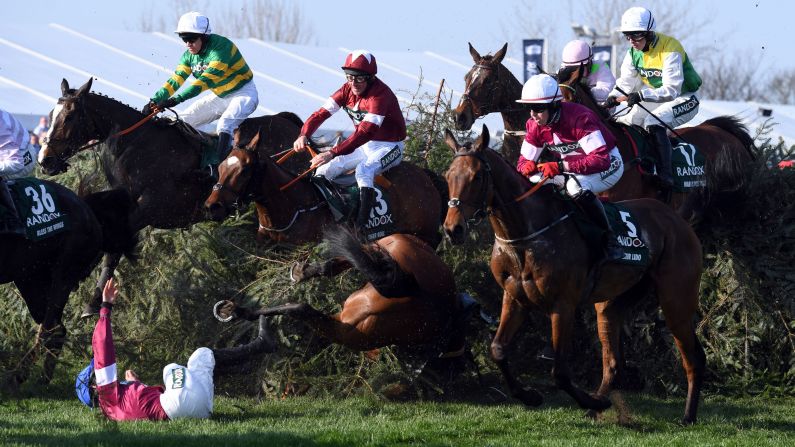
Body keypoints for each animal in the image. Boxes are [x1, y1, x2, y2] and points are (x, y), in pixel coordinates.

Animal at [0, 182, 135, 384]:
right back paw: (42, 381)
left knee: (50, 329)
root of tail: (88, 209)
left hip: (64, 272)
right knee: (57, 330)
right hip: (30, 279)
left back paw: (16, 378)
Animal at [34, 77, 304, 316]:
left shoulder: (150, 210)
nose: (45, 160)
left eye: (69, 116)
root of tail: (290, 124)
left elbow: (113, 249)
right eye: (51, 113)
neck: (137, 147)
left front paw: (91, 303)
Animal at [444, 125, 704, 424]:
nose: (453, 229)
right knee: (613, 362)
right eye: (448, 176)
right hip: (613, 303)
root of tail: (678, 222)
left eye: (476, 177)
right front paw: (530, 396)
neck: (525, 235)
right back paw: (598, 404)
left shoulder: (563, 305)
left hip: (676, 301)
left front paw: (584, 400)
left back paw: (687, 415)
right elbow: (498, 350)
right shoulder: (514, 298)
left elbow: (560, 373)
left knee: (692, 358)